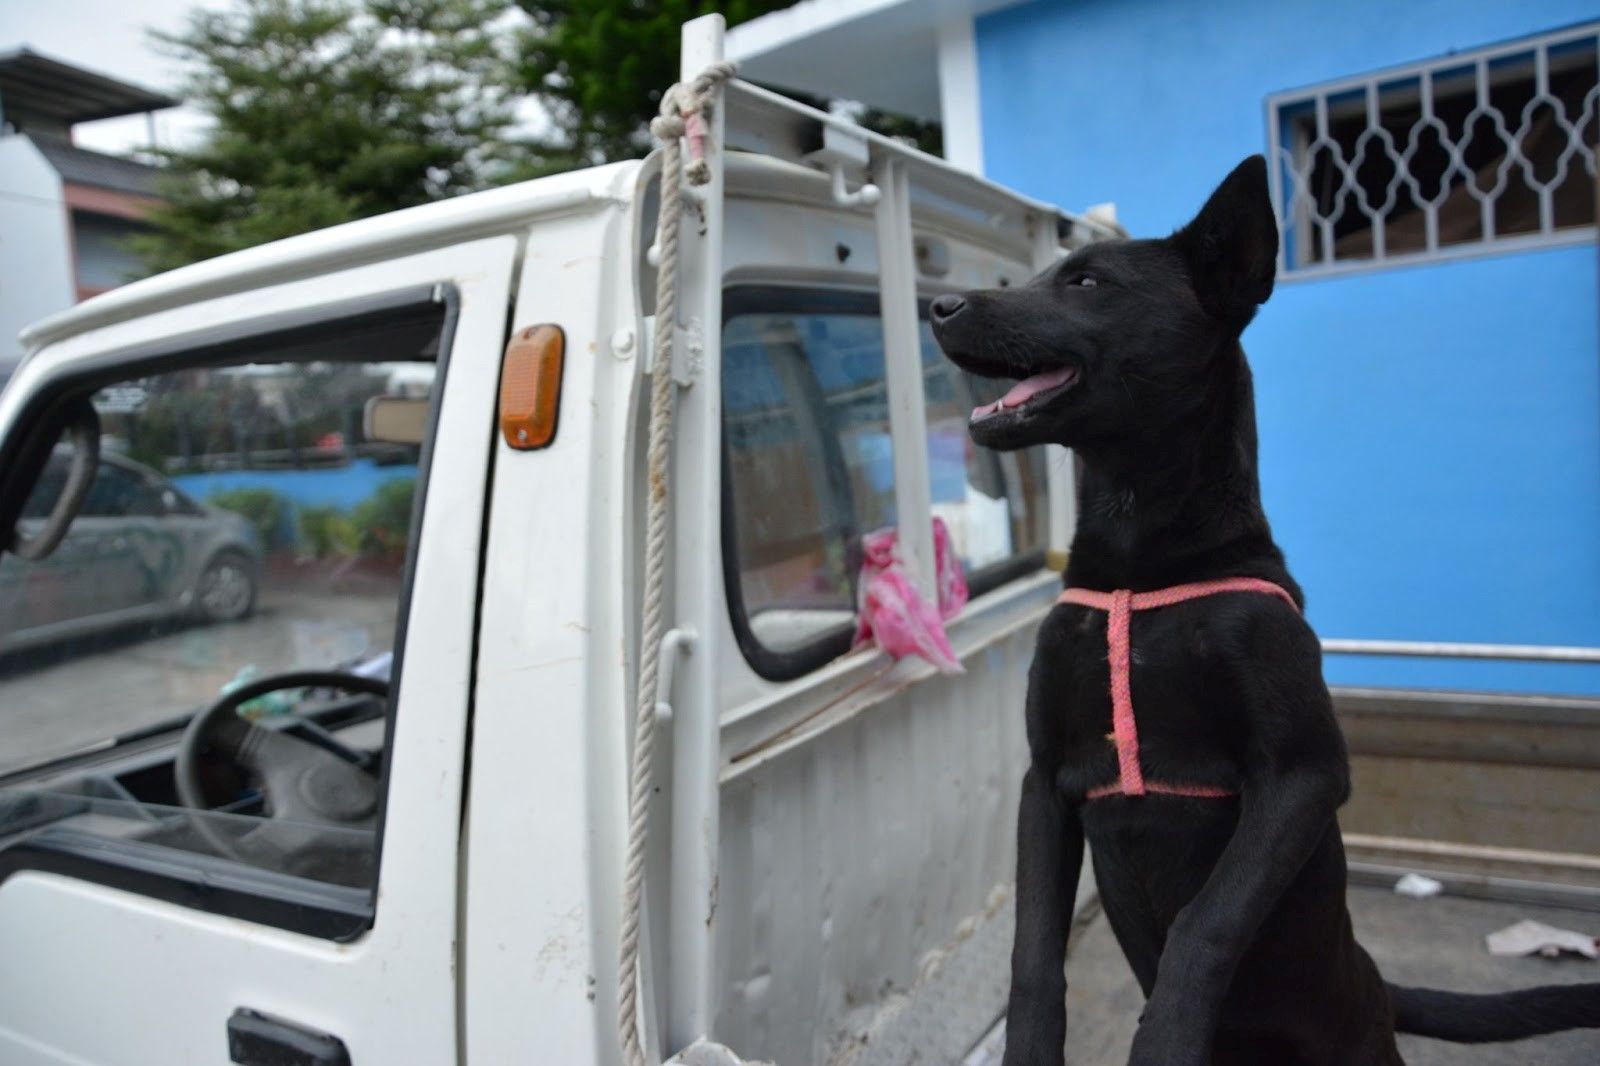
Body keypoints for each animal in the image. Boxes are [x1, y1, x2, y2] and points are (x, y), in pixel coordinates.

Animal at [934, 153, 1593, 1056]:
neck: (1143, 568)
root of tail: (1376, 983)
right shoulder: (1048, 782)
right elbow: (1034, 951)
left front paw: (1168, 1035)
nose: (938, 305)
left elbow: (1206, 922)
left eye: (1088, 281)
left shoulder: (1303, 774)